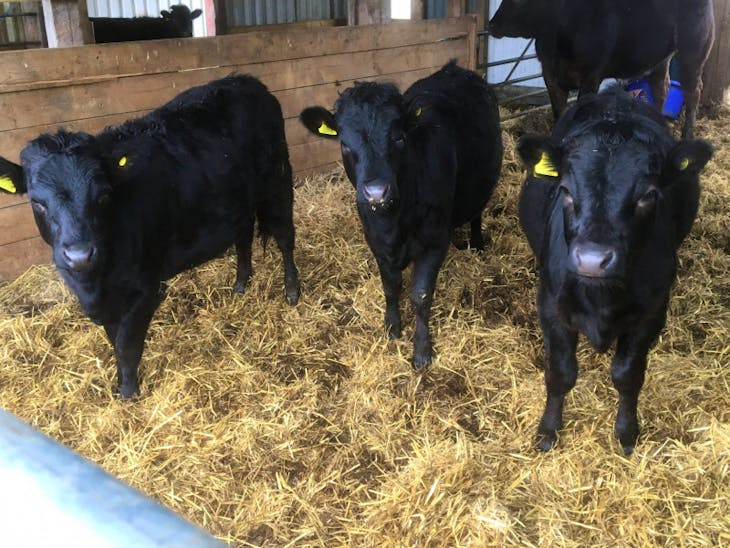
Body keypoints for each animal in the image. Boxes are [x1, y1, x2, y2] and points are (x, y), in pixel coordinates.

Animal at [0, 75, 300, 398]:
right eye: (37, 203)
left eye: (103, 195)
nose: (79, 255)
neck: (96, 283)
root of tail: (246, 80)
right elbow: (114, 338)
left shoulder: (145, 289)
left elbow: (127, 345)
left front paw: (128, 392)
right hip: (238, 202)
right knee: (243, 235)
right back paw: (241, 283)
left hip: (278, 182)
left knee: (285, 237)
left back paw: (292, 290)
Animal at [300, 61, 503, 367]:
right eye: (344, 144)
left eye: (398, 137)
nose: (376, 192)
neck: (394, 220)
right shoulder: (376, 240)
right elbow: (390, 286)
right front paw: (392, 327)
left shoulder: (434, 242)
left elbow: (420, 294)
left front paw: (421, 349)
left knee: (477, 212)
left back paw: (477, 243)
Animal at [488, 0, 715, 138]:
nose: (492, 25)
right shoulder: (549, 75)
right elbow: (558, 114)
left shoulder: (591, 75)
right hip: (661, 58)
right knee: (662, 87)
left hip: (693, 52)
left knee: (693, 91)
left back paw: (686, 136)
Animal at [517, 87, 712, 454]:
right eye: (565, 190)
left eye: (648, 194)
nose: (593, 259)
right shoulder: (550, 306)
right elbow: (561, 373)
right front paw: (548, 431)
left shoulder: (652, 313)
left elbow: (627, 375)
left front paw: (626, 433)